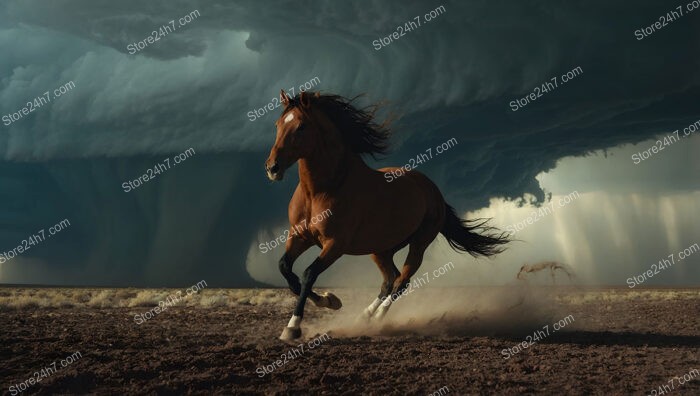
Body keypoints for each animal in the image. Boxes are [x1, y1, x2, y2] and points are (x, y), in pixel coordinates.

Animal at [262, 90, 508, 340]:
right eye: (277, 124)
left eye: (301, 126)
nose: (272, 168)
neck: (321, 191)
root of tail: (433, 190)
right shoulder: (299, 237)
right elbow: (286, 270)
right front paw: (330, 301)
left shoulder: (335, 245)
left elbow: (308, 274)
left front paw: (293, 326)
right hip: (381, 249)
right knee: (389, 280)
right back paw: (364, 316)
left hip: (418, 245)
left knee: (401, 281)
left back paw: (378, 319)